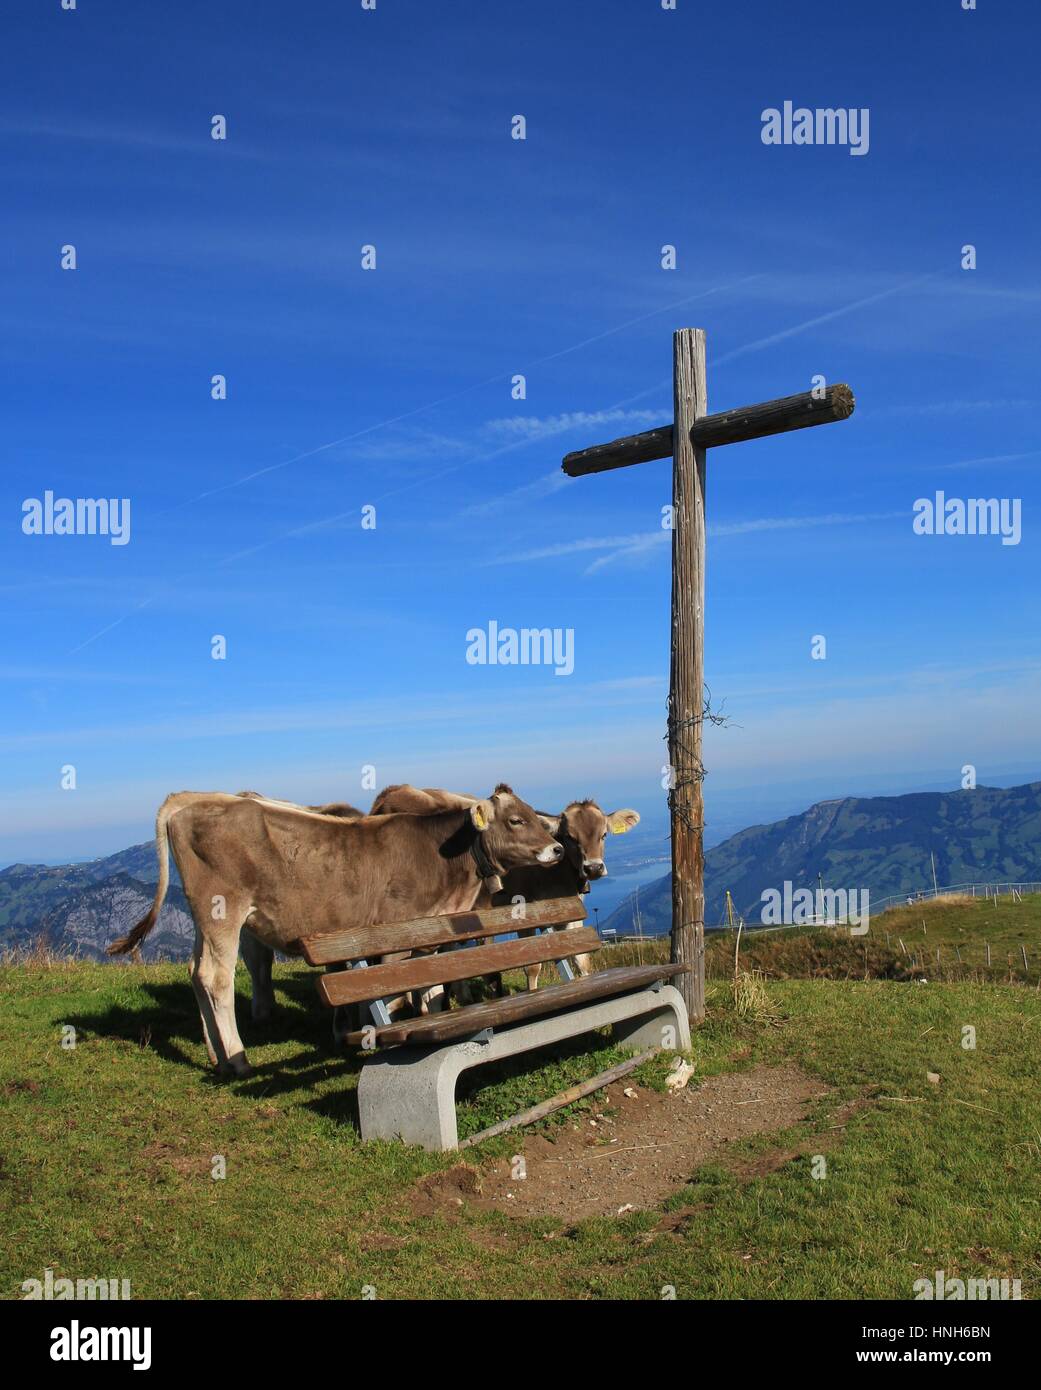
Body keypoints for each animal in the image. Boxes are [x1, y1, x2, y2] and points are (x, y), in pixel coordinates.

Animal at [107, 783, 561, 1073]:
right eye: (516, 820)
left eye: (531, 816)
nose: (557, 848)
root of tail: (187, 805)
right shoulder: (393, 936)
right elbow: (395, 988)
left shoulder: (428, 935)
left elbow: (431, 988)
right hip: (225, 910)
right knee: (215, 977)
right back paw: (237, 1059)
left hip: (203, 914)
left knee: (195, 973)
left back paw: (215, 1055)